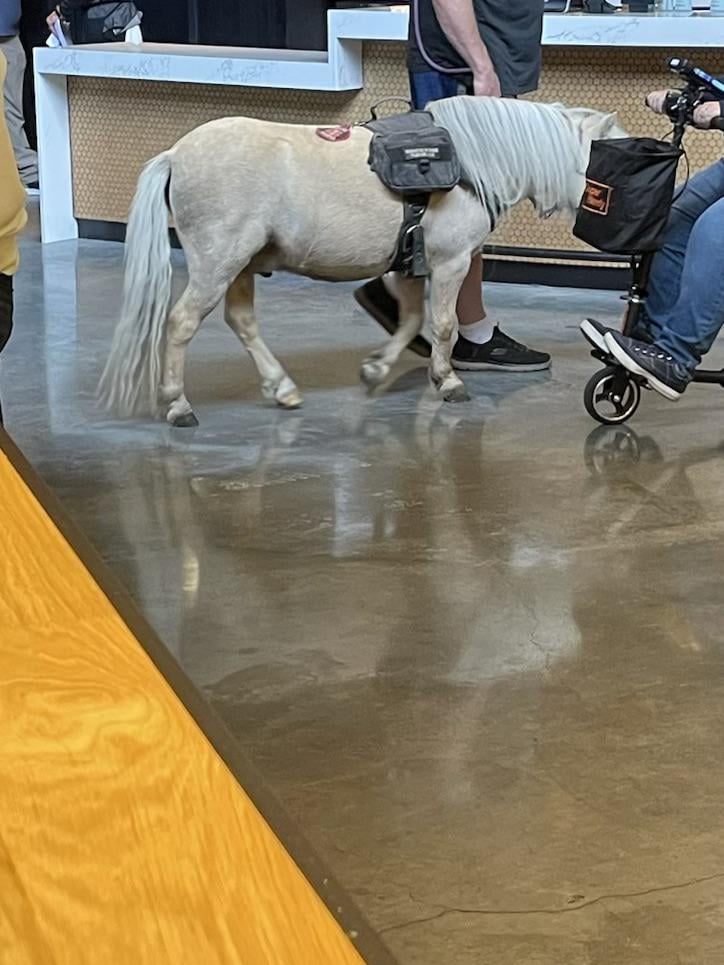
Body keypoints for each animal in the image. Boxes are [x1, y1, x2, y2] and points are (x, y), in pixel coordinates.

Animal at [98, 96, 622, 426]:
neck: (469, 163)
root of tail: (175, 155)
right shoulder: (449, 262)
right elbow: (444, 325)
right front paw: (448, 381)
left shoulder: (409, 262)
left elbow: (410, 322)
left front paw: (376, 370)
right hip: (217, 263)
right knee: (182, 323)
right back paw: (177, 405)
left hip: (241, 265)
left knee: (241, 321)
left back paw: (281, 388)